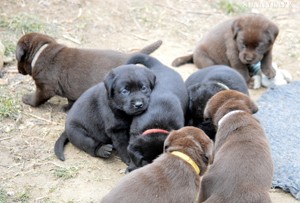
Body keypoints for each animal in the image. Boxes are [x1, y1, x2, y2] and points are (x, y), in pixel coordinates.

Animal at [16, 32, 162, 110]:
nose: (18, 70)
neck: (40, 51)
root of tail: (128, 57)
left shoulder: (45, 87)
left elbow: (37, 98)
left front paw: (27, 99)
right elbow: (71, 99)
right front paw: (68, 108)